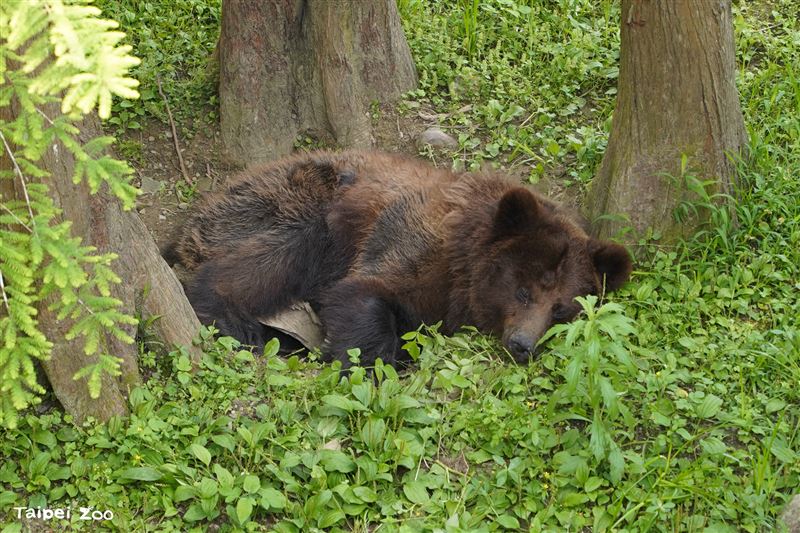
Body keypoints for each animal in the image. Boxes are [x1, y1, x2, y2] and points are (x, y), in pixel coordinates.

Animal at [164, 150, 633, 368]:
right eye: (523, 290)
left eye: (561, 309)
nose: (523, 345)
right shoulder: (409, 243)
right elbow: (363, 294)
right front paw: (366, 365)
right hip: (295, 206)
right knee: (266, 262)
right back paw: (231, 319)